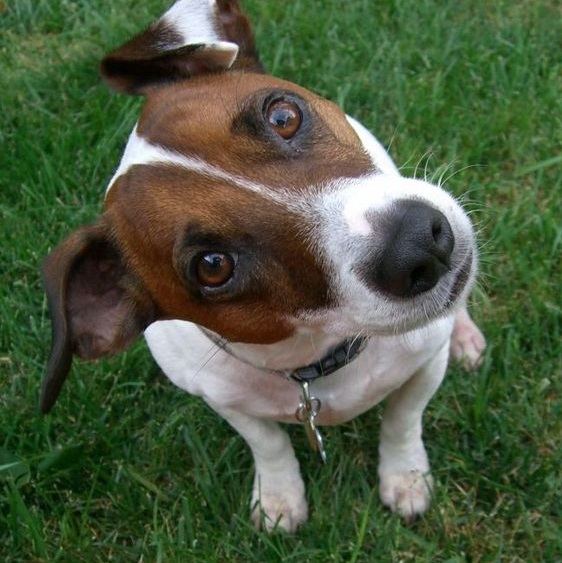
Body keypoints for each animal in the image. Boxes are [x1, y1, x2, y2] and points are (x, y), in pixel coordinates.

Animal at [41, 0, 484, 532]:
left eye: (283, 114)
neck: (320, 362)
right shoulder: (224, 400)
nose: (418, 242)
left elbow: (403, 419)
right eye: (213, 266)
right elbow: (267, 444)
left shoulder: (424, 362)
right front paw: (279, 499)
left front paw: (406, 478)